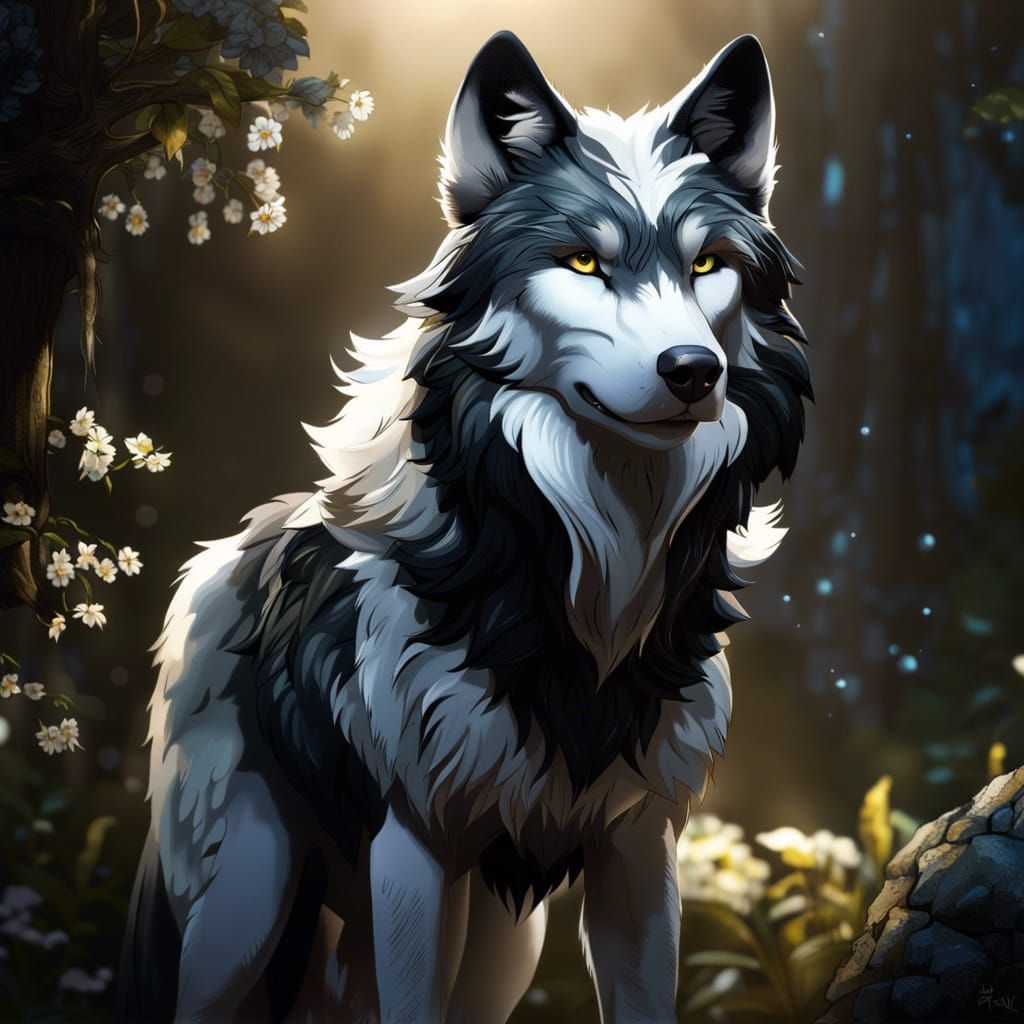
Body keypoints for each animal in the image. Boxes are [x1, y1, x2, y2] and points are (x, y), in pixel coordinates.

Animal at [119, 30, 810, 1024]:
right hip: (248, 904)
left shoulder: (639, 847)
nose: (694, 370)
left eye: (709, 264)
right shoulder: (414, 843)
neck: (588, 578)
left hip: (497, 948)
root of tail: (225, 552)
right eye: (584, 263)